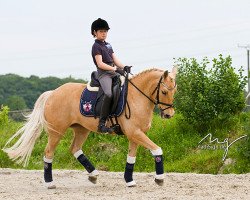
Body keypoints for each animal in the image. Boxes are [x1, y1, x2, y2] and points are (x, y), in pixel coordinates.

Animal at [2, 67, 178, 189]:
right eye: (164, 91)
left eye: (174, 90)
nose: (169, 114)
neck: (137, 97)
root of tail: (53, 93)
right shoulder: (135, 133)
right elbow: (157, 150)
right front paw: (159, 178)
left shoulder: (135, 134)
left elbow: (131, 158)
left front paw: (129, 180)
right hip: (56, 132)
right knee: (48, 153)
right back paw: (50, 183)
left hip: (81, 129)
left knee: (74, 149)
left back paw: (93, 175)